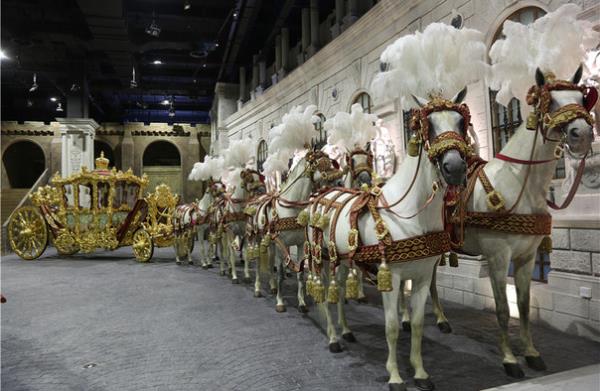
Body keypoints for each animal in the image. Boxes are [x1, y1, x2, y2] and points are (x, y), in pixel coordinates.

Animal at [308, 89, 472, 391]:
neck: (409, 212)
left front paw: (420, 372)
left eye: (460, 122)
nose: (454, 167)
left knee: (339, 293)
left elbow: (416, 324)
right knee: (325, 295)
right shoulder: (391, 277)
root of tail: (322, 194)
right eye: (428, 126)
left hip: (343, 262)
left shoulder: (421, 276)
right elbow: (392, 327)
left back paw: (346, 331)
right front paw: (395, 376)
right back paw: (333, 337)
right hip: (321, 258)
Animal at [400, 67, 596, 380]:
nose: (583, 133)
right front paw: (510, 359)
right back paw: (408, 319)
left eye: (581, 98)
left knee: (429, 282)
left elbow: (524, 306)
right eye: (550, 101)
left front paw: (532, 353)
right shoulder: (497, 256)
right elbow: (503, 309)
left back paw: (442, 319)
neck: (517, 182)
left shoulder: (527, 256)